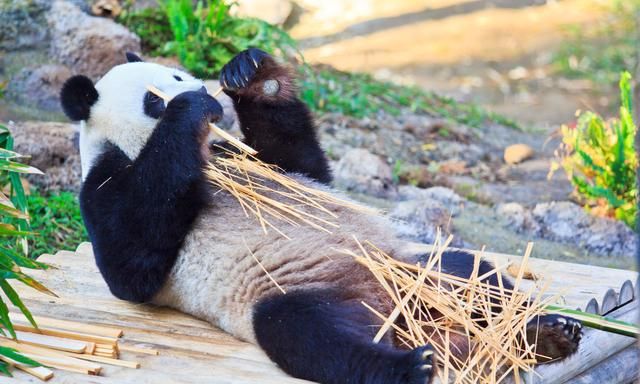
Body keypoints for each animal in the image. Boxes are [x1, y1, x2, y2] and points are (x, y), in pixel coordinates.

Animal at [58, 49, 580, 384]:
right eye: (154, 96)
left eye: (180, 74)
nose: (209, 98)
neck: (207, 153)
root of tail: (398, 312)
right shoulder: (105, 181)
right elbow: (132, 264)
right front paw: (188, 112)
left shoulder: (249, 158)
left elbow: (303, 167)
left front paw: (249, 72)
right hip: (303, 293)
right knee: (309, 335)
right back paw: (409, 368)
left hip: (407, 268)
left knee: (469, 273)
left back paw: (544, 334)